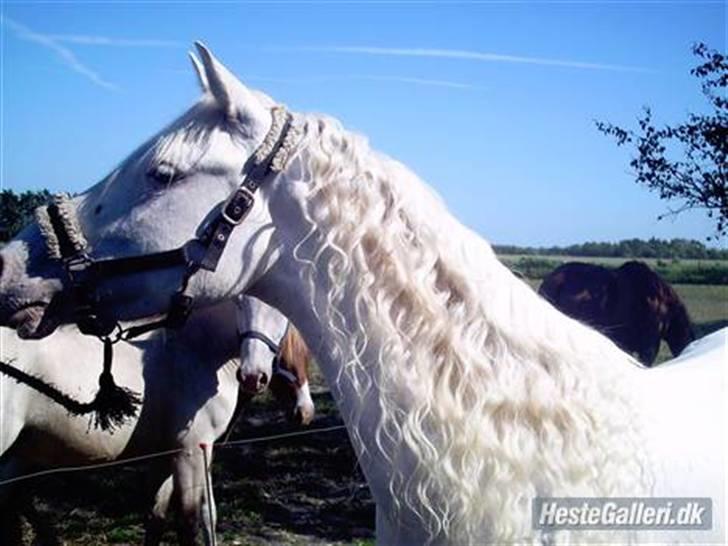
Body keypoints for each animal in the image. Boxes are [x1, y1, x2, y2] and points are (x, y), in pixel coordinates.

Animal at [0, 296, 296, 540]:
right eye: (240, 304)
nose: (253, 376)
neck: (196, 350)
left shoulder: (166, 454)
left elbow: (158, 516)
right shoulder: (191, 450)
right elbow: (191, 522)